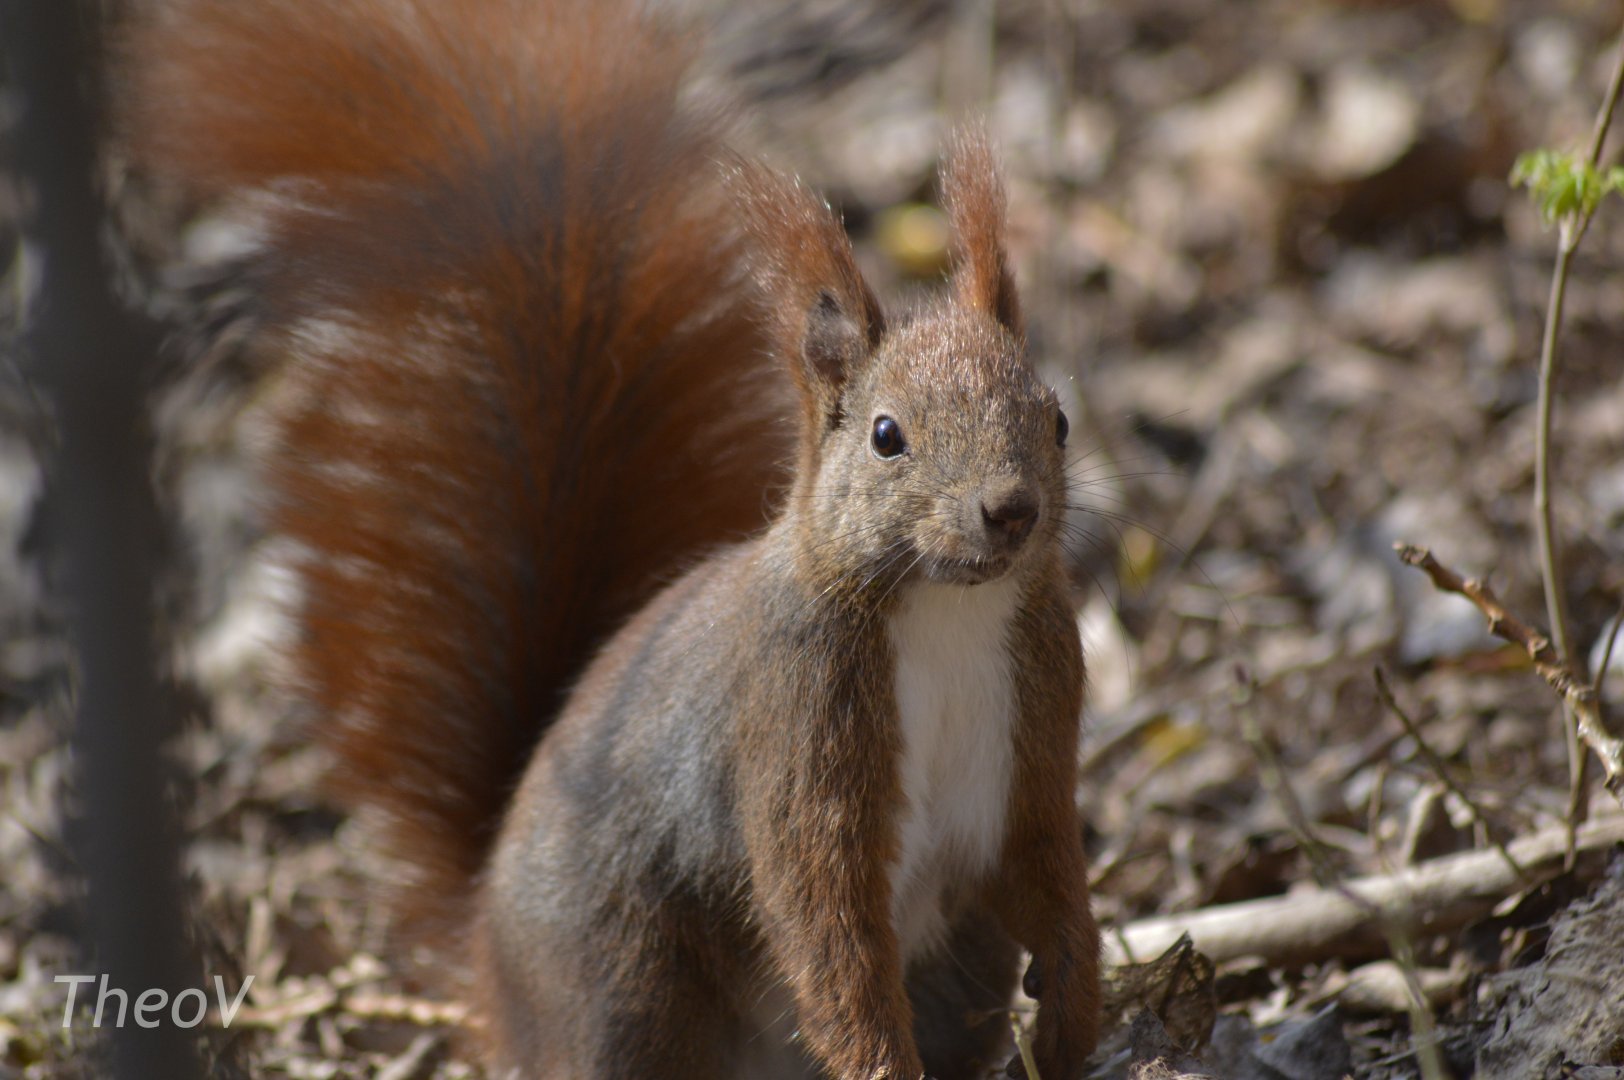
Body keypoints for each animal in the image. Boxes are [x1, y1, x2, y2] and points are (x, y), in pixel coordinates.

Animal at [122, 0, 1102, 1077]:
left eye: (1056, 418)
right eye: (888, 437)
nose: (1010, 510)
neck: (947, 611)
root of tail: (488, 953)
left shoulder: (1036, 729)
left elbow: (1048, 876)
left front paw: (1075, 1009)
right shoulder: (796, 730)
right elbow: (831, 939)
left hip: (955, 968)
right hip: (621, 985)